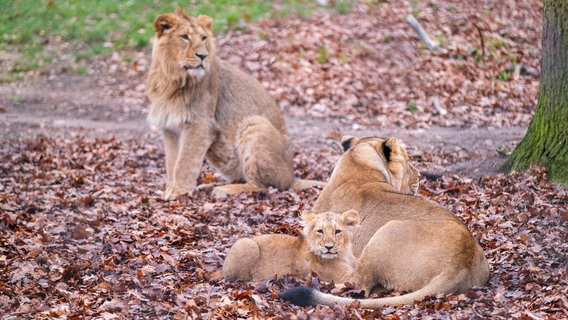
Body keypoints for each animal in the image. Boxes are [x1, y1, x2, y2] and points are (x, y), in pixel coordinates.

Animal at [146, 8, 324, 200]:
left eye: (204, 38)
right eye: (185, 37)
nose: (203, 56)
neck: (171, 80)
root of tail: (292, 177)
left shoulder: (200, 125)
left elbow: (185, 163)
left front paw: (178, 192)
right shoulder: (170, 129)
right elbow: (172, 163)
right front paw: (169, 190)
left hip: (254, 124)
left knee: (261, 186)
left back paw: (224, 189)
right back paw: (212, 185)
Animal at [222, 210, 360, 282]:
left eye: (338, 231)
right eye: (320, 231)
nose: (329, 247)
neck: (343, 255)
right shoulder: (342, 279)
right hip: (246, 244)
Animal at [280, 136, 488, 308]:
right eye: (408, 161)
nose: (420, 175)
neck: (358, 166)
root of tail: (461, 261)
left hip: (386, 231)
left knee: (359, 285)